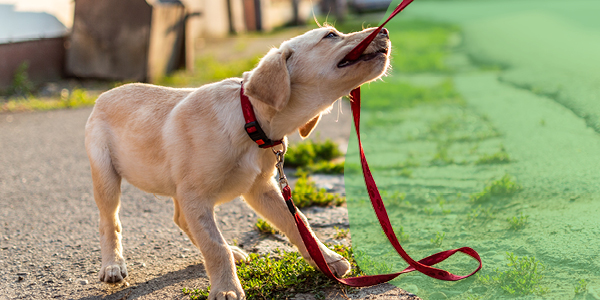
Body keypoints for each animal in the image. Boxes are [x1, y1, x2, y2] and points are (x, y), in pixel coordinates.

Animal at [86, 26, 392, 300]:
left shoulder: (260, 189)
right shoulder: (195, 194)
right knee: (109, 221)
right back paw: (112, 265)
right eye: (330, 35)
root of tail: (106, 94)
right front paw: (226, 288)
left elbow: (298, 223)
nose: (386, 31)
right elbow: (214, 244)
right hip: (106, 176)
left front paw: (326, 260)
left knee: (181, 219)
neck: (250, 120)